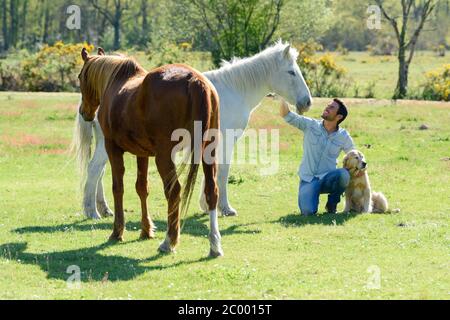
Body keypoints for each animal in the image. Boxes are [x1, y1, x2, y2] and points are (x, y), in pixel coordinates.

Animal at [74, 40, 312, 220]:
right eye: (291, 72)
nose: (307, 102)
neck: (233, 90)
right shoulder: (225, 141)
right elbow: (222, 171)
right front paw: (224, 207)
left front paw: (207, 205)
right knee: (94, 169)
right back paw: (91, 211)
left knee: (99, 171)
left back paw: (103, 208)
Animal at [75, 48, 223, 258]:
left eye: (80, 77)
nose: (83, 112)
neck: (116, 83)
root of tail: (194, 80)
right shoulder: (142, 154)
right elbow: (142, 188)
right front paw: (146, 230)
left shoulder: (113, 149)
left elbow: (118, 188)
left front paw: (117, 231)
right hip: (208, 152)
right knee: (212, 191)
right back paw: (214, 244)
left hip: (164, 157)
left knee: (174, 192)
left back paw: (169, 241)